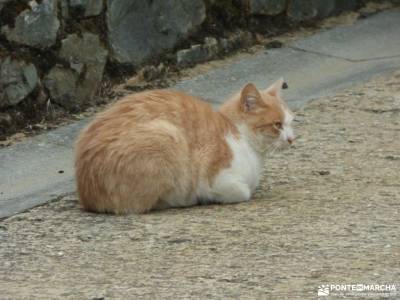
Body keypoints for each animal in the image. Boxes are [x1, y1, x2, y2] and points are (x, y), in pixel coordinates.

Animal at [75, 77, 294, 213]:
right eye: (277, 125)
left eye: (291, 122)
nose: (292, 139)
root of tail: (86, 192)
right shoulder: (218, 180)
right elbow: (243, 192)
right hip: (166, 134)